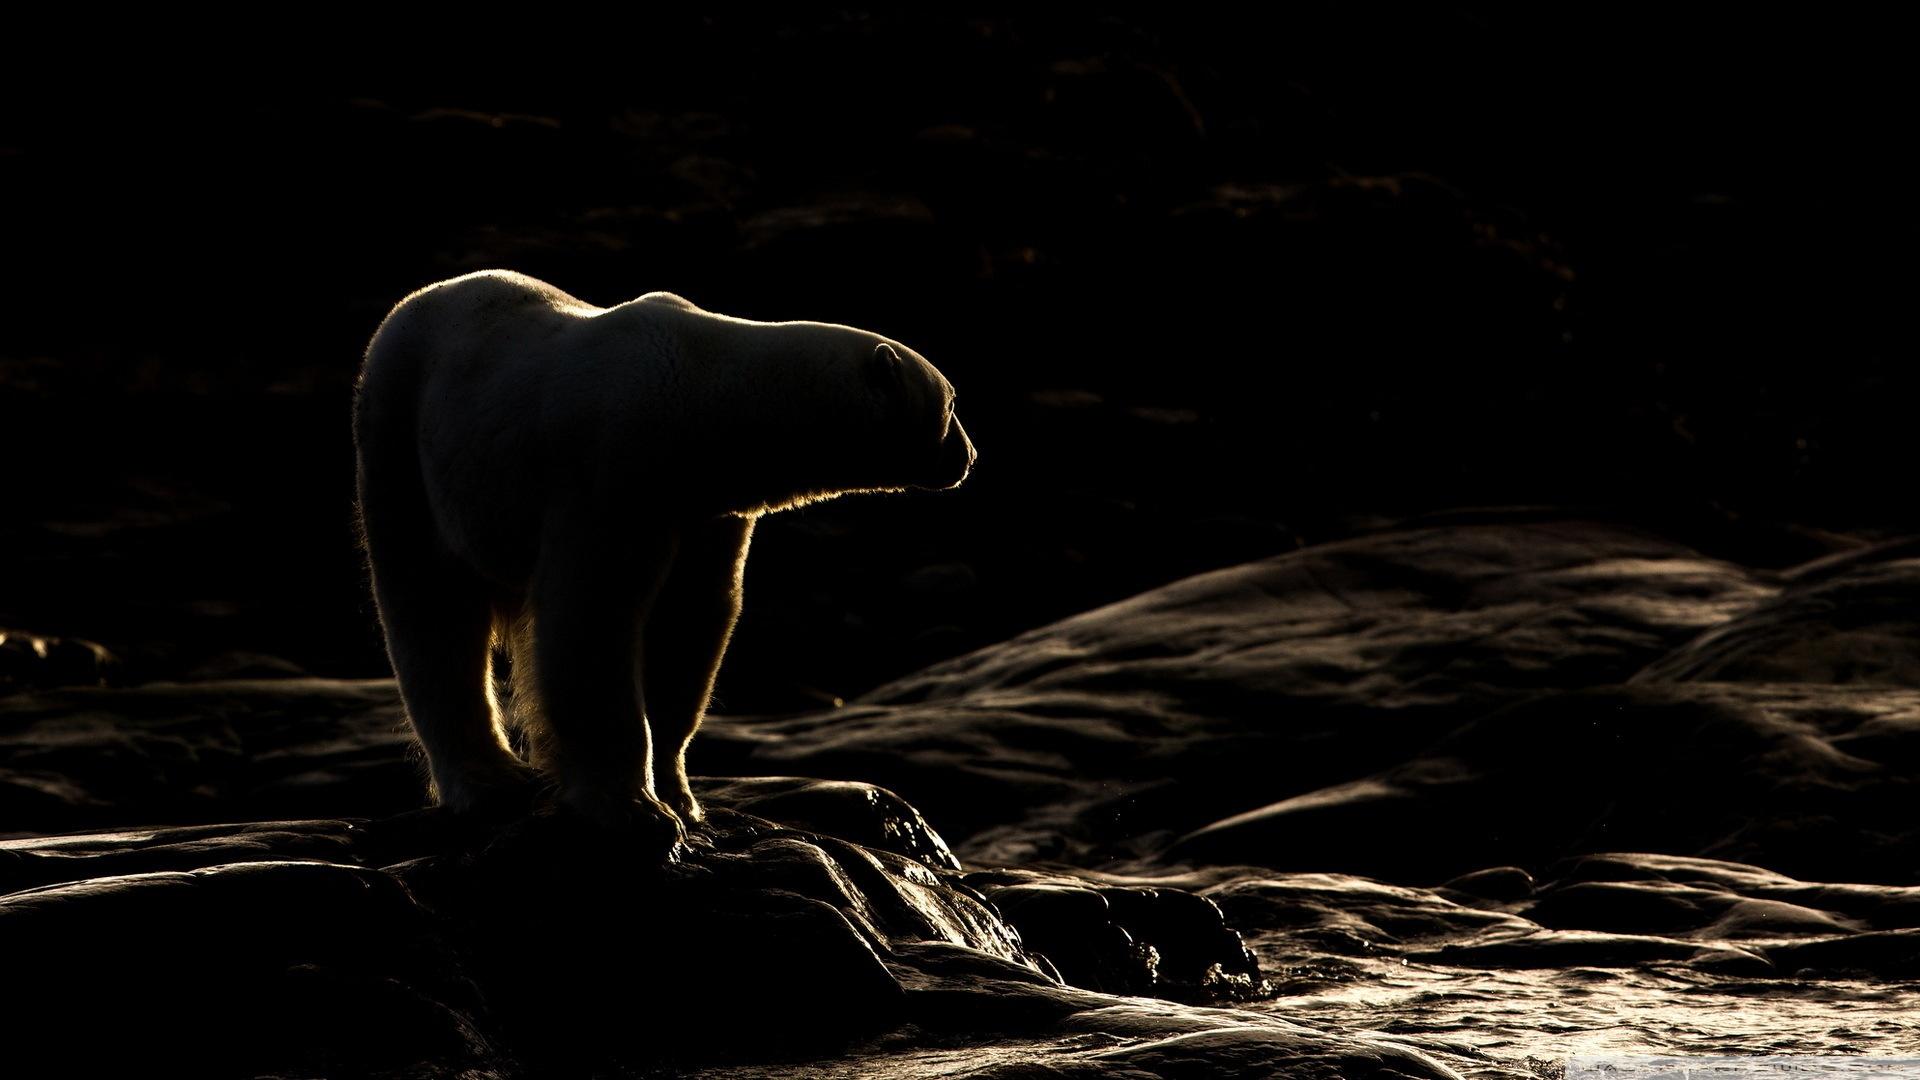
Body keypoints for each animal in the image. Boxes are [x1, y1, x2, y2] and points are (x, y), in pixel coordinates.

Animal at [352, 270, 973, 836]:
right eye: (950, 404)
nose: (968, 456)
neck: (705, 401)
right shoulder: (614, 470)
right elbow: (592, 613)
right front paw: (631, 807)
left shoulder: (706, 510)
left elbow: (691, 621)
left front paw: (680, 795)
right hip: (401, 432)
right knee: (428, 608)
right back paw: (490, 783)